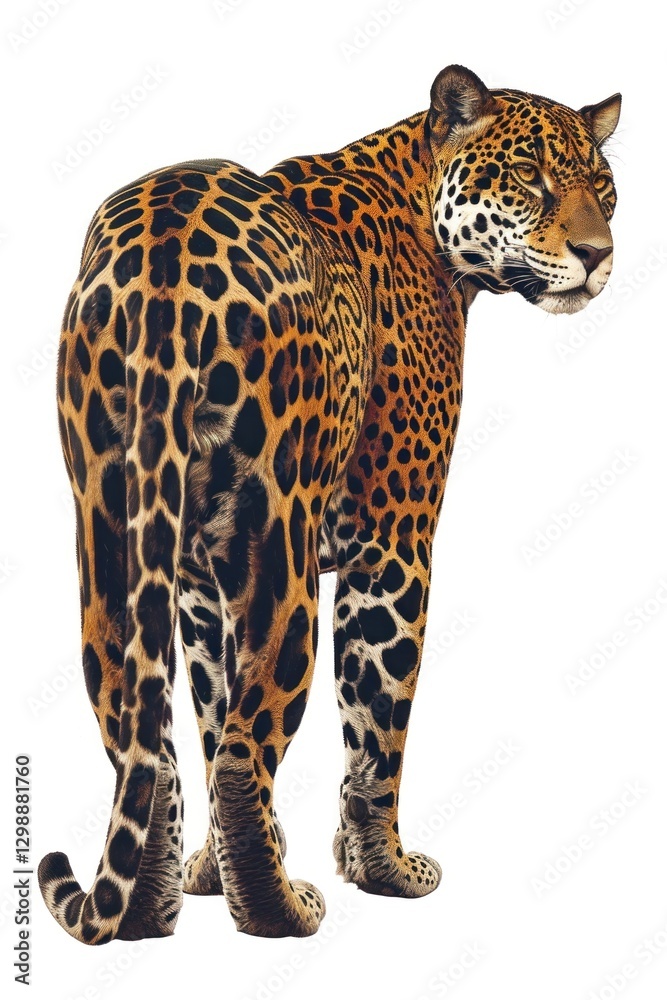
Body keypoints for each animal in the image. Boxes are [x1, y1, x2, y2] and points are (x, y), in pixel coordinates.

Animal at [38, 64, 621, 943]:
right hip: (277, 538)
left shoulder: (198, 582)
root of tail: (163, 245)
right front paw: (383, 871)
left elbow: (208, 708)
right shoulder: (393, 541)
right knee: (244, 748)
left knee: (146, 739)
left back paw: (147, 909)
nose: (597, 254)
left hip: (108, 533)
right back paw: (280, 909)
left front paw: (207, 874)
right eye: (528, 176)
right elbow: (377, 723)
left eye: (603, 186)